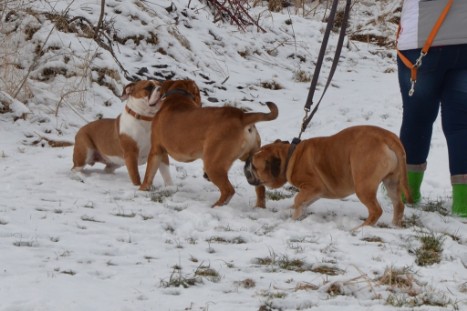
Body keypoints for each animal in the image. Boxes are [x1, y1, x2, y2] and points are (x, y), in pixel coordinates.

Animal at [139, 79, 278, 208]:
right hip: (253, 163)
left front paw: (142, 189)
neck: (178, 96)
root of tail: (242, 116)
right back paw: (259, 207)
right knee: (260, 189)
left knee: (228, 190)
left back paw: (216, 206)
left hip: (213, 165)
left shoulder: (156, 149)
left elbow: (149, 173)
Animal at [245, 125, 414, 229]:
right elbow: (303, 202)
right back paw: (394, 225)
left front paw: (293, 218)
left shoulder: (313, 186)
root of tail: (387, 137)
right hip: (392, 181)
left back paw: (359, 229)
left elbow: (298, 199)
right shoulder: (315, 192)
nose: (246, 164)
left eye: (254, 166)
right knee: (399, 205)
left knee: (376, 210)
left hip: (363, 186)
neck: (290, 155)